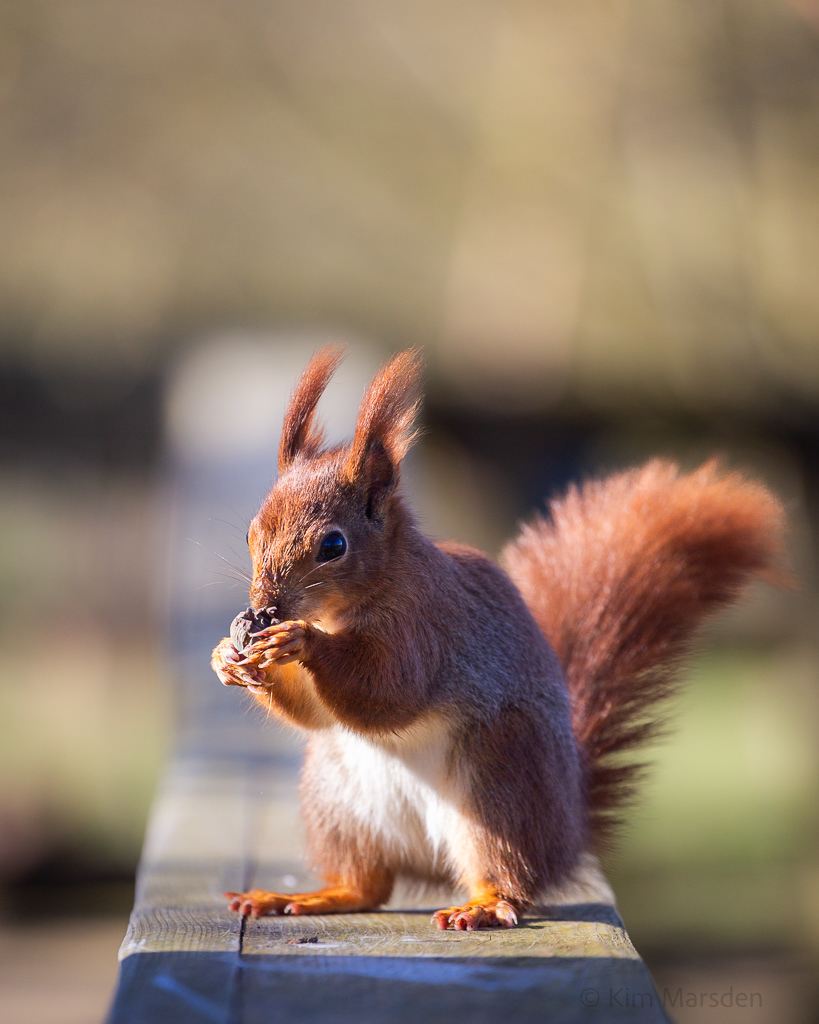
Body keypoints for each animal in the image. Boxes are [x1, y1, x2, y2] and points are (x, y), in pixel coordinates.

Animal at [211, 347, 786, 931]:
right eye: (251, 533)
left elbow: (388, 691)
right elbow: (313, 712)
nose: (265, 609)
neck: (355, 601)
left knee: (510, 877)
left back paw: (482, 906)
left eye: (333, 545)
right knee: (366, 885)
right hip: (337, 800)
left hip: (502, 778)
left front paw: (299, 641)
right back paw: (307, 896)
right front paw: (227, 657)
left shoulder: (428, 625)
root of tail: (567, 829)